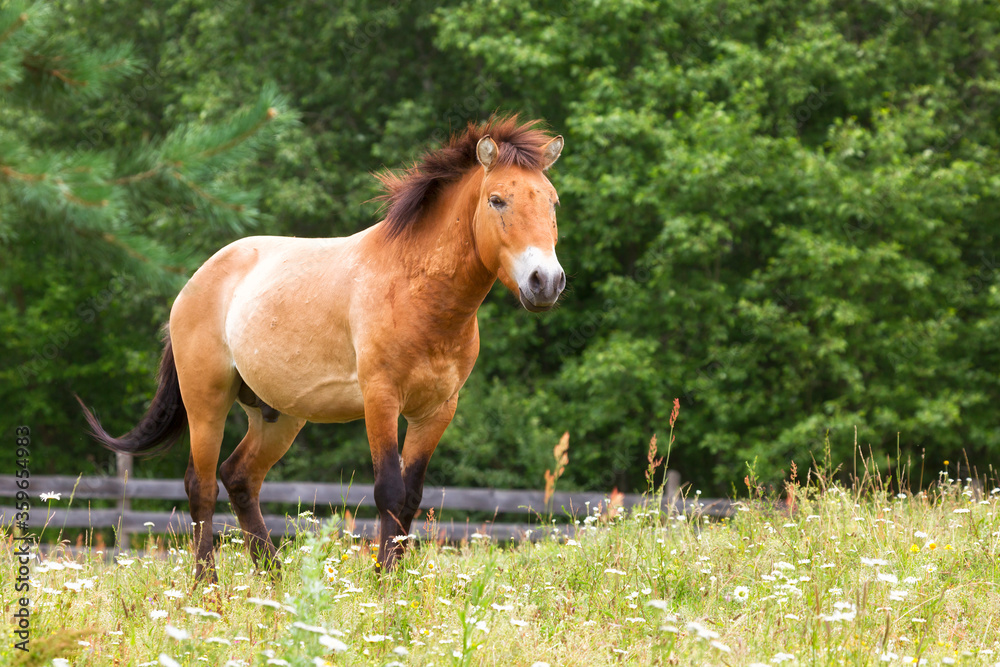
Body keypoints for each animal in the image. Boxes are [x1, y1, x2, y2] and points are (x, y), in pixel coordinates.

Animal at [78, 116, 566, 579]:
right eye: (497, 200)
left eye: (552, 201)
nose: (546, 282)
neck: (417, 290)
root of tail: (194, 282)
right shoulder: (380, 399)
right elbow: (389, 492)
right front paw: (381, 589)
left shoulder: (437, 410)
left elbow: (411, 497)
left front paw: (394, 585)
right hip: (207, 400)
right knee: (201, 486)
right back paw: (208, 588)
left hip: (278, 415)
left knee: (239, 478)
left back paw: (274, 581)